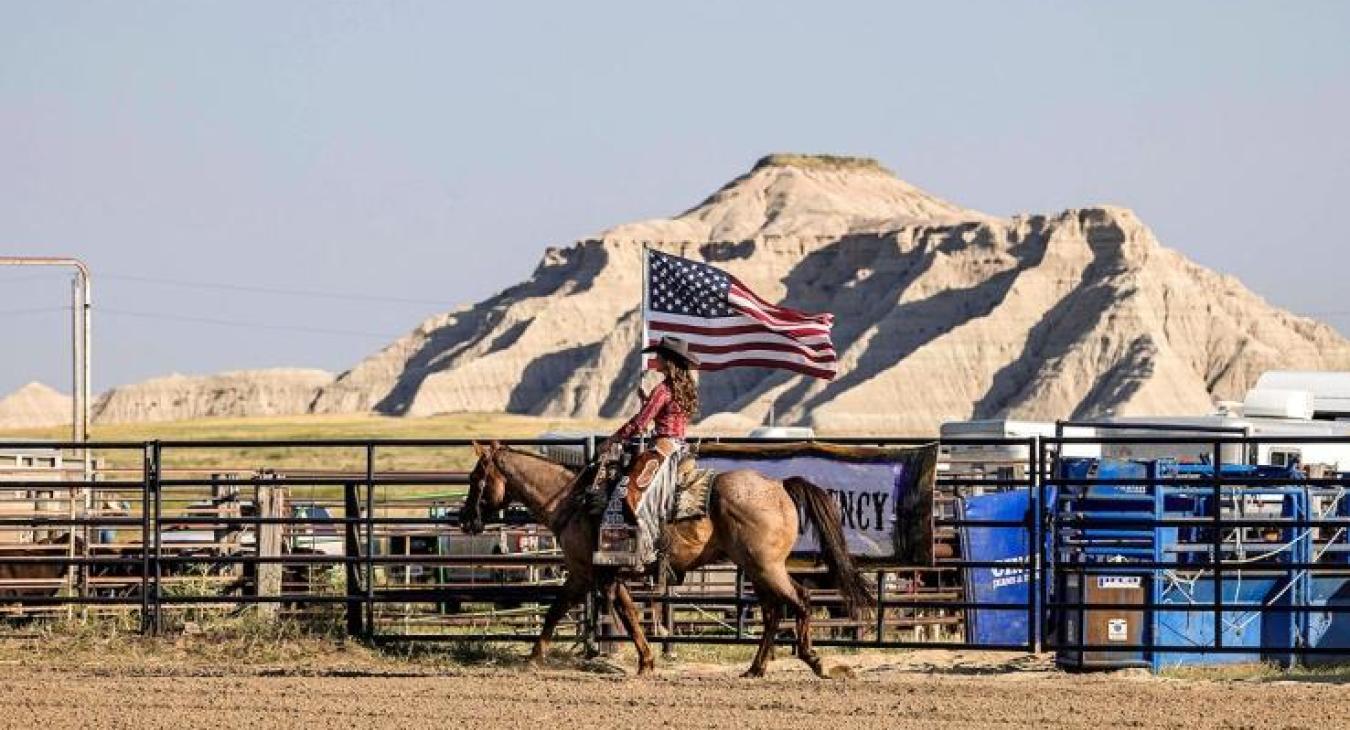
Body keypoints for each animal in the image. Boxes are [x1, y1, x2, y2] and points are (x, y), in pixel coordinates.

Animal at [461, 439, 874, 674]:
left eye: (473, 478)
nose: (464, 519)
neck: (571, 500)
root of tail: (780, 486)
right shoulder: (602, 575)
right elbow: (627, 613)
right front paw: (646, 660)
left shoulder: (584, 572)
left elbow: (557, 611)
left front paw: (531, 659)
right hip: (756, 569)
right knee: (775, 611)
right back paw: (756, 669)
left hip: (765, 567)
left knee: (799, 601)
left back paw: (814, 661)